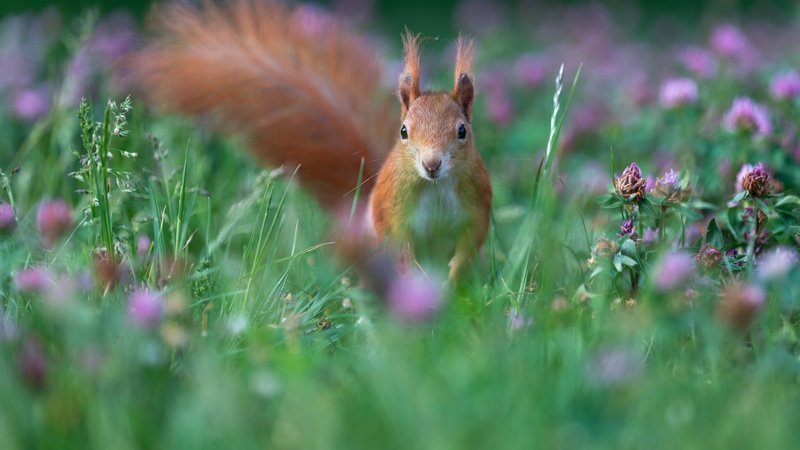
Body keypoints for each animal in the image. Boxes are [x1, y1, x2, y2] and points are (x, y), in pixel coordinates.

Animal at [135, 1, 492, 280]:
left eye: (462, 131)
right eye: (403, 131)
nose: (431, 164)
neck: (435, 186)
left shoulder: (476, 205)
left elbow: (470, 243)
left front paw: (454, 278)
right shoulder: (391, 207)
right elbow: (398, 242)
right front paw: (418, 275)